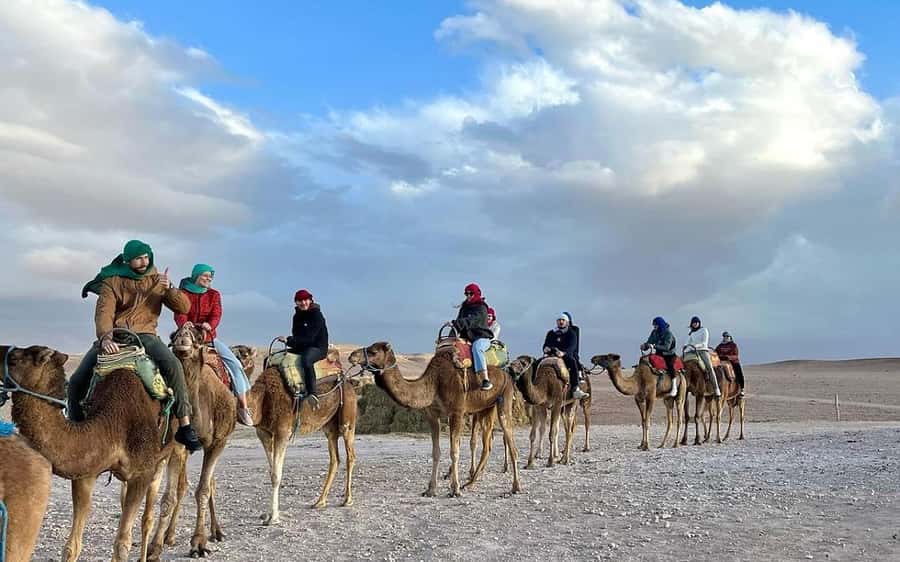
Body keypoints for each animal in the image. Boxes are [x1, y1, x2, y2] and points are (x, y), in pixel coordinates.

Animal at [147, 325, 238, 559]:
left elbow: (203, 490)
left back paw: (216, 531)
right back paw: (169, 536)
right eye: (174, 334)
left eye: (197, 335)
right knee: (183, 485)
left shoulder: (218, 442)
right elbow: (169, 496)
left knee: (209, 484)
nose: (182, 338)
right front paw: (155, 547)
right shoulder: (179, 445)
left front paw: (198, 543)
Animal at [246, 349, 357, 524]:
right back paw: (320, 501)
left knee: (350, 455)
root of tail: (347, 380)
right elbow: (271, 471)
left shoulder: (282, 432)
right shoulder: (263, 433)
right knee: (335, 459)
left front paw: (274, 517)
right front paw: (268, 515)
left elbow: (276, 475)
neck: (263, 398)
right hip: (329, 426)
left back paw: (347, 499)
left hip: (347, 418)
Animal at [349, 341, 521, 497]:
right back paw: (470, 483)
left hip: (504, 399)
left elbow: (454, 451)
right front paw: (431, 489)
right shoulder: (432, 415)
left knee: (510, 442)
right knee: (487, 445)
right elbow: (436, 452)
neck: (434, 382)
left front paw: (455, 489)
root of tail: (506, 373)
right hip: (486, 407)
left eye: (373, 351)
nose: (352, 356)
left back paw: (515, 487)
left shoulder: (457, 412)